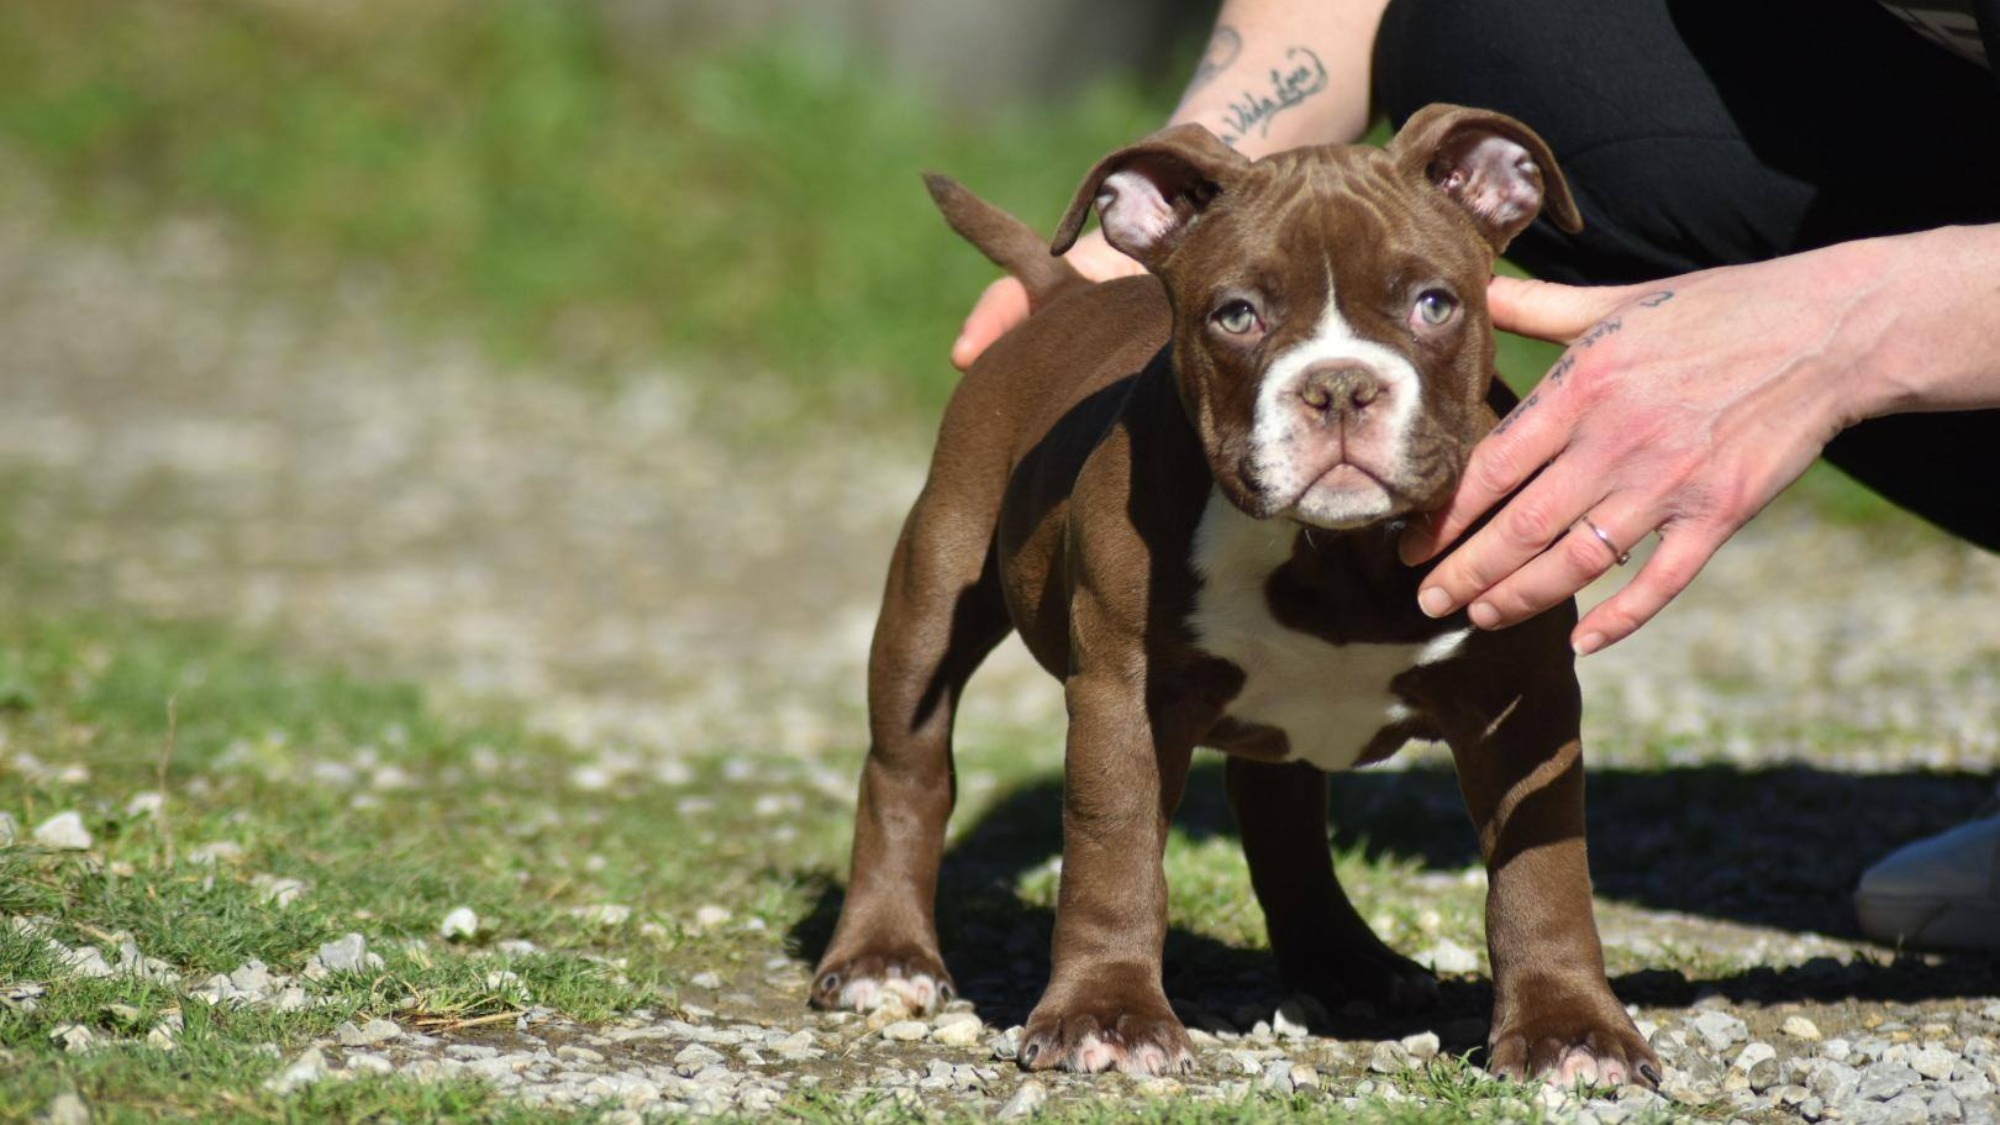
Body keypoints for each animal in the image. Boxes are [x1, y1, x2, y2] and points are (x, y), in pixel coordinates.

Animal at [808, 107, 1656, 1088]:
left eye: (1434, 304)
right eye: (1238, 315)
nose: (1340, 385)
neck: (1335, 554)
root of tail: (1062, 292)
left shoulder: (1525, 695)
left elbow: (1544, 865)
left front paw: (1570, 1027)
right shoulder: (1124, 693)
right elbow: (1113, 847)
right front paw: (1108, 1013)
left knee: (1282, 820)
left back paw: (1347, 963)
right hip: (933, 581)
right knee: (907, 765)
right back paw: (884, 957)